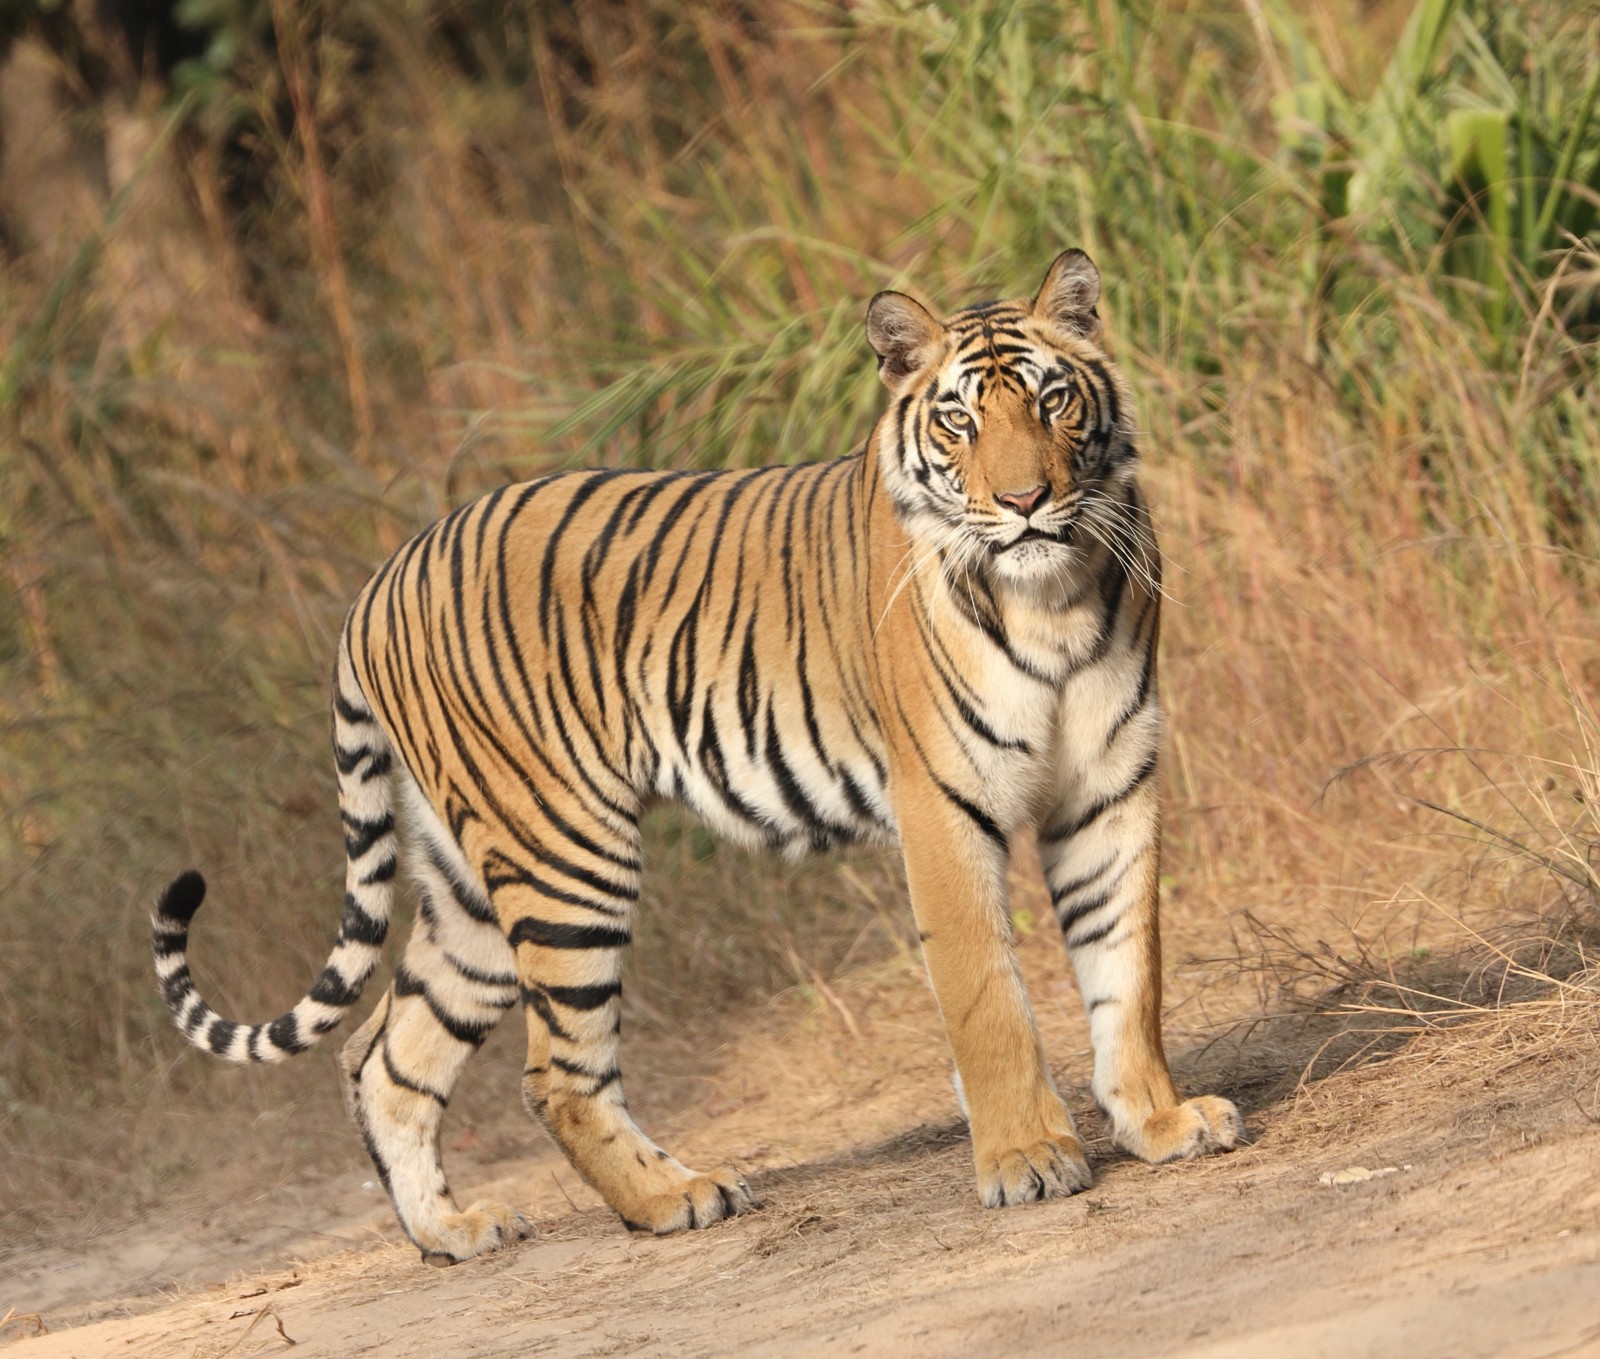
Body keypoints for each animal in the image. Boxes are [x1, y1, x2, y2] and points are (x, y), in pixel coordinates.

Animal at [150, 251, 1241, 1261]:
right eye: (959, 422)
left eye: (1054, 400)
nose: (1024, 501)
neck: (1053, 596)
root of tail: (377, 581)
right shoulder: (941, 804)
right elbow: (987, 996)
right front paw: (1027, 1160)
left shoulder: (1109, 786)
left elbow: (1128, 967)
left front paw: (1159, 1121)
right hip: (563, 853)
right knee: (554, 1074)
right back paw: (677, 1196)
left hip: (468, 890)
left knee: (385, 1058)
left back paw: (454, 1231)